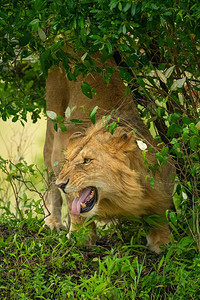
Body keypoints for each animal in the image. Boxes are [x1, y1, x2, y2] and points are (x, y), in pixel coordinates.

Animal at [43, 51, 175, 253]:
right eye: (69, 161)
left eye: (87, 161)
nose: (62, 183)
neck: (120, 196)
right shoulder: (60, 148)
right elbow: (75, 210)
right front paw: (81, 236)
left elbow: (160, 213)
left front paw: (163, 242)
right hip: (54, 117)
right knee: (48, 176)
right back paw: (53, 222)